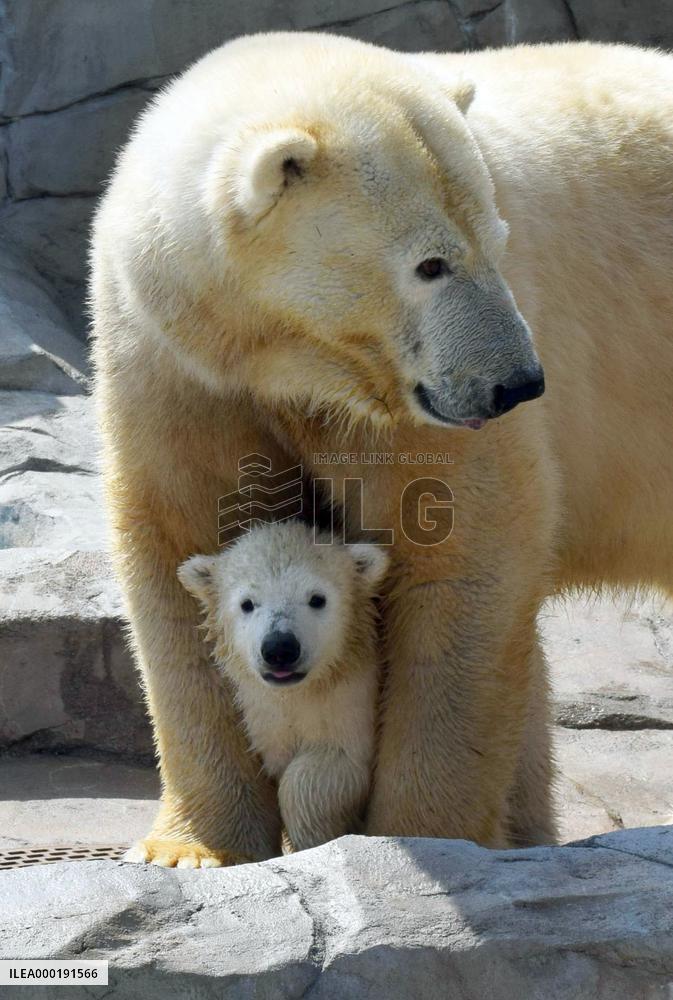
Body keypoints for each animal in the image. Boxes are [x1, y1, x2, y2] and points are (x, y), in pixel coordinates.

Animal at [176, 520, 389, 854]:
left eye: (317, 598)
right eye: (247, 603)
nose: (280, 648)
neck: (304, 691)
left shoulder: (354, 705)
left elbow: (324, 768)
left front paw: (312, 839)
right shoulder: (267, 718)